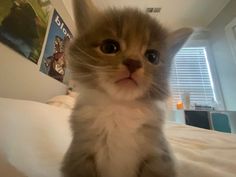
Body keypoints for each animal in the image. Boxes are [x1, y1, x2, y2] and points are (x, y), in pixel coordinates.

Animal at [60, 0, 192, 177]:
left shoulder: (159, 158)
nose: (133, 63)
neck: (119, 107)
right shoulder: (79, 156)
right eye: (109, 47)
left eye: (152, 57)